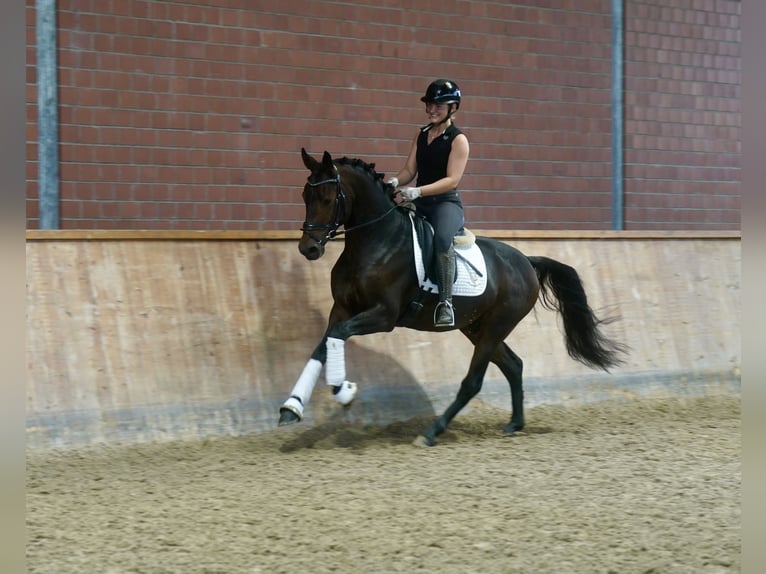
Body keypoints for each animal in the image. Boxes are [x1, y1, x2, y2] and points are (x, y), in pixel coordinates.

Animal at [277, 148, 627, 446]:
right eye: (305, 195)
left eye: (327, 197)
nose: (309, 249)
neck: (375, 242)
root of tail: (526, 261)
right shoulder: (342, 308)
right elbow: (324, 345)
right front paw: (291, 407)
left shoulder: (383, 315)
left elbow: (338, 336)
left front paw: (344, 391)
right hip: (477, 327)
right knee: (513, 365)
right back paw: (514, 424)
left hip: (496, 326)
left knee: (473, 382)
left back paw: (432, 432)